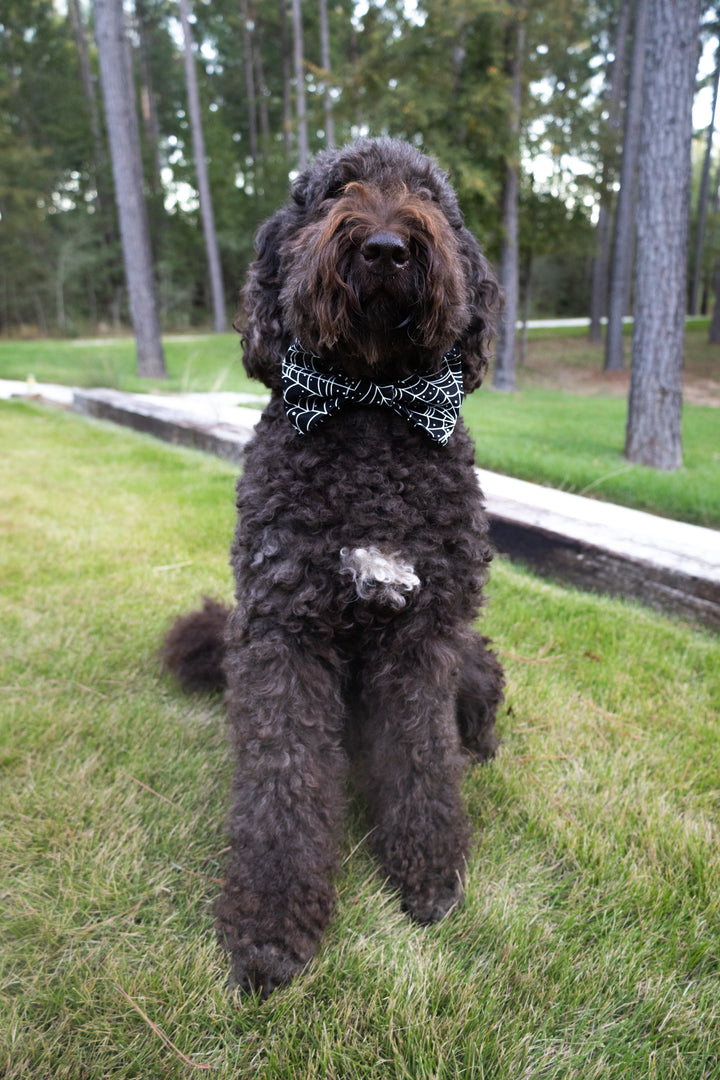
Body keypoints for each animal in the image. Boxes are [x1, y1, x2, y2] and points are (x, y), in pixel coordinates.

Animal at [162, 139, 505, 997]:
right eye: (331, 193)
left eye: (428, 195)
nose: (385, 247)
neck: (373, 405)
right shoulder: (283, 632)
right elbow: (280, 785)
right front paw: (271, 929)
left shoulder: (423, 637)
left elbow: (422, 761)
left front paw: (428, 876)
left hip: (472, 653)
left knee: (475, 712)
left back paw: (478, 747)